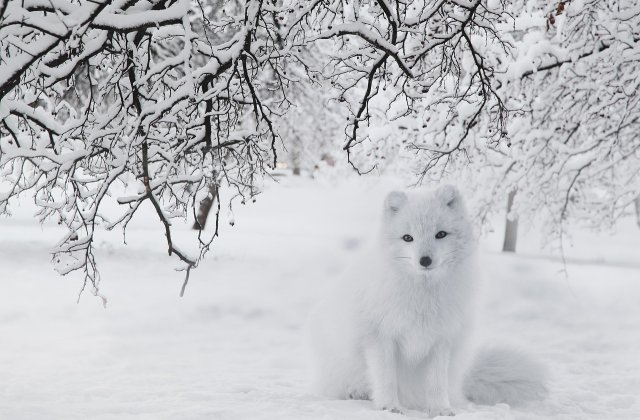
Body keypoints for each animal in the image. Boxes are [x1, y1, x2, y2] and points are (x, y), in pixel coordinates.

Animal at [308, 185, 544, 416]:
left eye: (440, 234)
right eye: (407, 238)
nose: (425, 260)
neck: (423, 296)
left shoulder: (441, 340)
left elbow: (436, 383)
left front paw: (440, 409)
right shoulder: (380, 337)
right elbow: (386, 378)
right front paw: (389, 406)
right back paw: (356, 393)